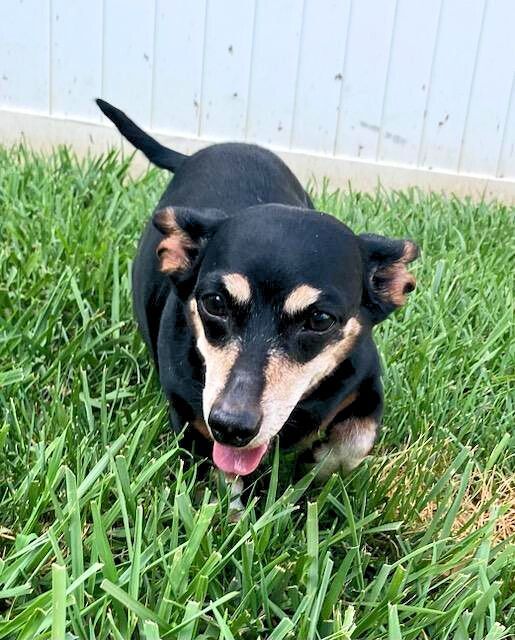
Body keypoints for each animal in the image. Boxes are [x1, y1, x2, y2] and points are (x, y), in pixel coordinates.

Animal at [95, 100, 420, 490]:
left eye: (320, 320)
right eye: (214, 303)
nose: (231, 427)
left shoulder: (367, 383)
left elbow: (357, 438)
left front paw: (319, 464)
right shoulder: (192, 424)